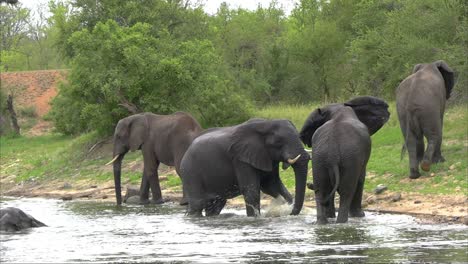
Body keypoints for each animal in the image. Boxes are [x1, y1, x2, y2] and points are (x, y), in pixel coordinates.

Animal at [180, 119, 310, 217]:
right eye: (278, 142)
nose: (290, 213)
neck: (266, 124)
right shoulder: (240, 159)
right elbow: (252, 190)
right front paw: (254, 218)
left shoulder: (268, 158)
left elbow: (272, 186)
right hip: (190, 172)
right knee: (198, 204)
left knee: (216, 205)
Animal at [300, 96, 392, 224]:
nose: (308, 184)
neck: (339, 108)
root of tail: (332, 155)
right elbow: (361, 178)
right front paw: (359, 215)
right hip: (350, 160)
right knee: (347, 191)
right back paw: (342, 221)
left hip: (320, 160)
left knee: (321, 190)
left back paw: (323, 222)